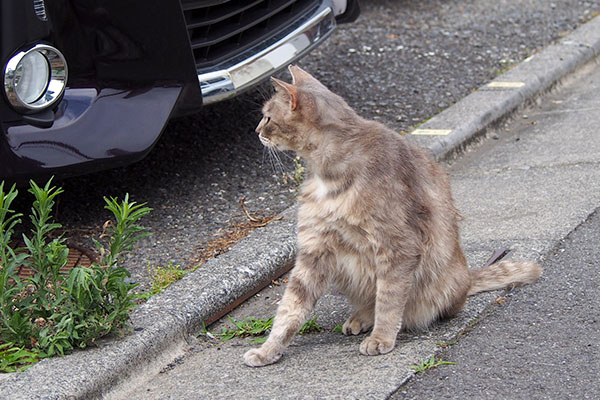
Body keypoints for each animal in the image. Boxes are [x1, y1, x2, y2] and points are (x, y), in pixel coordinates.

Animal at [241, 65, 540, 368]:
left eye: (267, 116)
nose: (256, 130)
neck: (328, 173)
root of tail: (467, 277)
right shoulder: (315, 248)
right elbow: (290, 308)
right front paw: (268, 350)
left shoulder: (397, 246)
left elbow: (388, 299)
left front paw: (381, 337)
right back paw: (360, 318)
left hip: (444, 282)